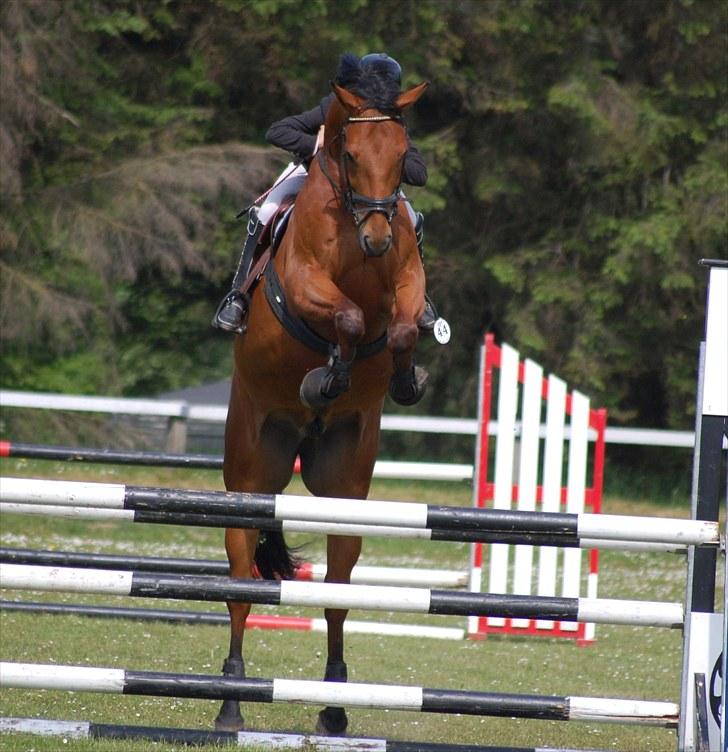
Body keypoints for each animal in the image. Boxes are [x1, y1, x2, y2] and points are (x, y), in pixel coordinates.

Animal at [218, 72, 432, 736]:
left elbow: (399, 325)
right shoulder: (308, 282)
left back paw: (335, 705)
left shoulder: (406, 282)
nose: (377, 237)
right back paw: (230, 702)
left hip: (345, 488)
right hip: (250, 475)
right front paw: (326, 376)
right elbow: (348, 315)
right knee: (242, 586)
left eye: (403, 153)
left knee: (338, 593)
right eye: (351, 155)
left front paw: (400, 378)